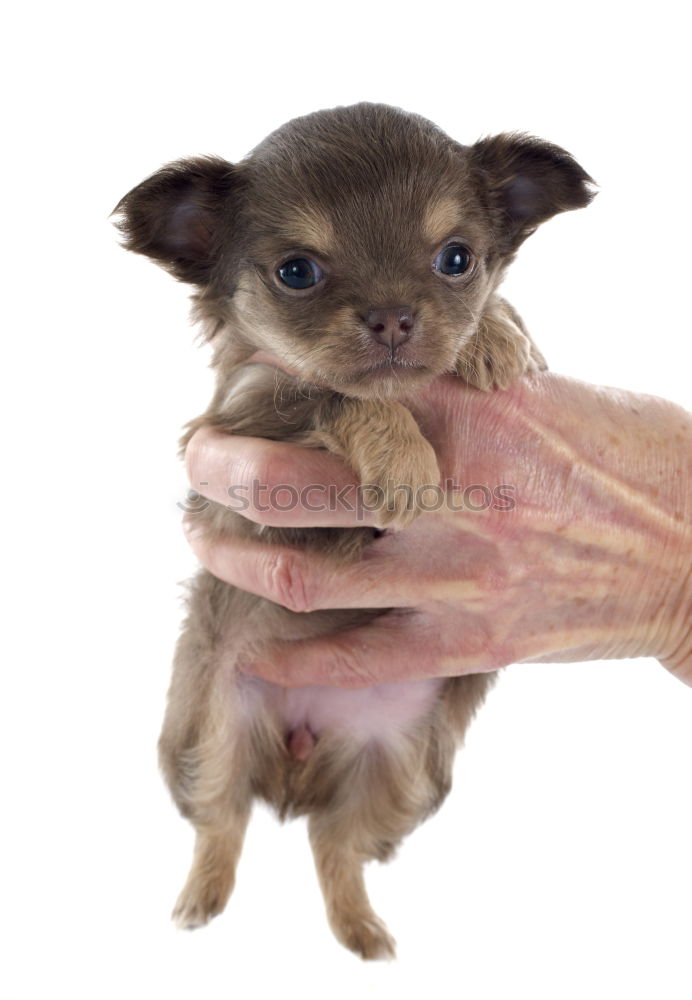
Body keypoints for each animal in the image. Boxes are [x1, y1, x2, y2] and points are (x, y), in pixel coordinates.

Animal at [115, 103, 596, 960]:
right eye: (297, 272)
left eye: (456, 259)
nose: (395, 317)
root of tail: (301, 751)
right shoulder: (247, 413)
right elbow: (336, 395)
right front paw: (404, 460)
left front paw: (494, 336)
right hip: (207, 735)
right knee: (221, 824)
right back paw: (200, 904)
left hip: (401, 770)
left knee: (334, 844)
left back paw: (363, 932)